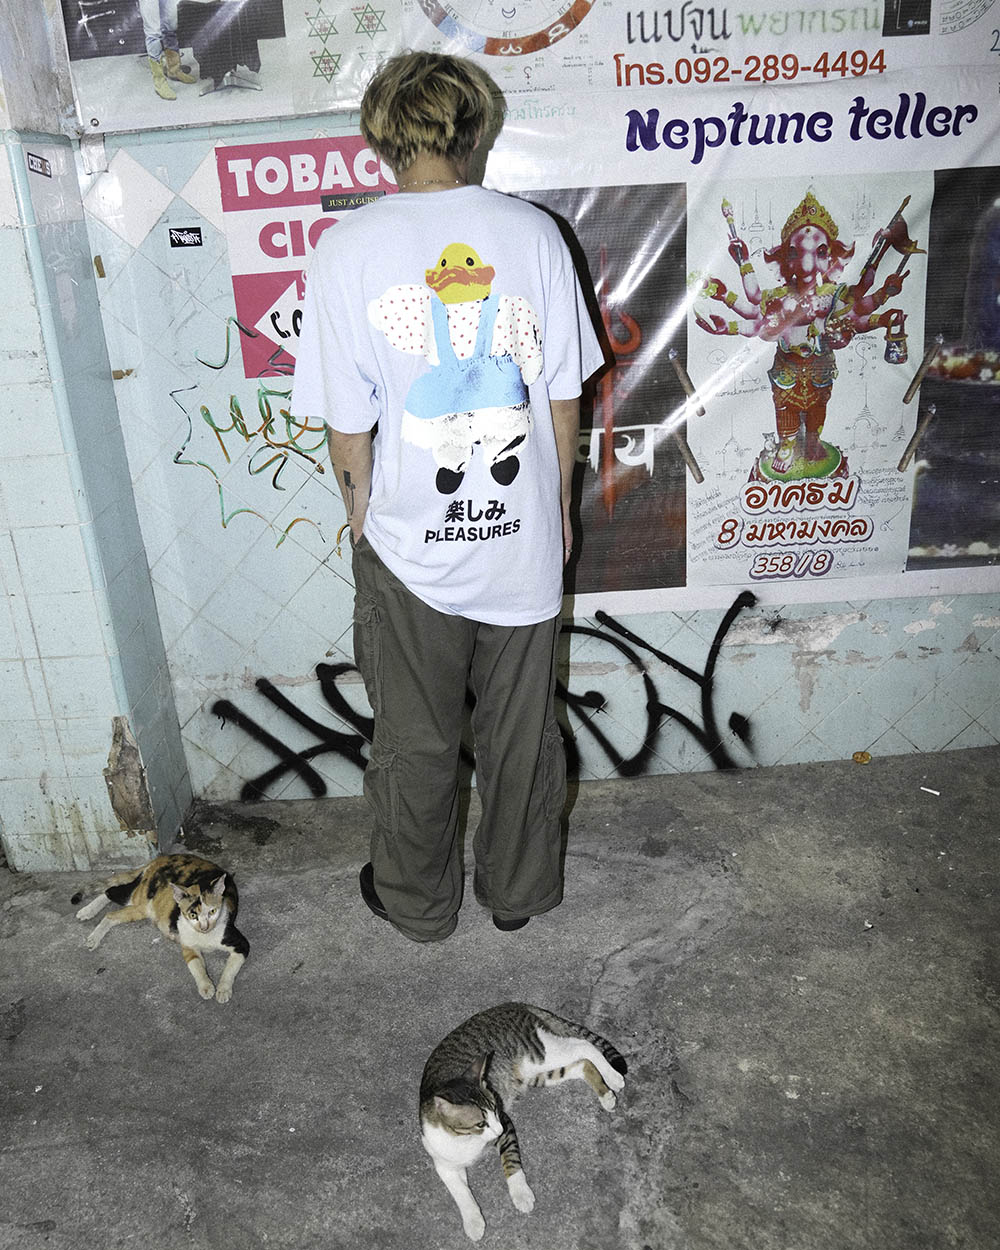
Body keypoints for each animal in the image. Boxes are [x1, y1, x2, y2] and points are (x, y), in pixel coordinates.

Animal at [75, 853, 249, 1003]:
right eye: (192, 915)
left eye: (212, 911)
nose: (204, 926)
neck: (204, 936)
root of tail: (162, 857)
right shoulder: (188, 947)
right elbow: (197, 967)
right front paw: (206, 987)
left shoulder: (240, 944)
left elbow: (230, 968)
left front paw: (223, 990)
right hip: (138, 896)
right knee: (109, 892)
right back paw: (88, 917)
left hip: (141, 908)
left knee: (111, 912)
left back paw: (90, 920)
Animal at [419, 1002, 627, 1242]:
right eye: (480, 1123)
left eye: (495, 1110)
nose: (497, 1129)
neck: (466, 1140)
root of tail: (513, 1004)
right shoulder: (444, 1163)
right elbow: (460, 1192)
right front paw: (473, 1220)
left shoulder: (506, 1125)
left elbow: (510, 1161)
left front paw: (521, 1194)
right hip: (537, 1074)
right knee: (582, 1064)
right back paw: (606, 1092)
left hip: (539, 1053)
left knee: (583, 1046)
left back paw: (613, 1077)